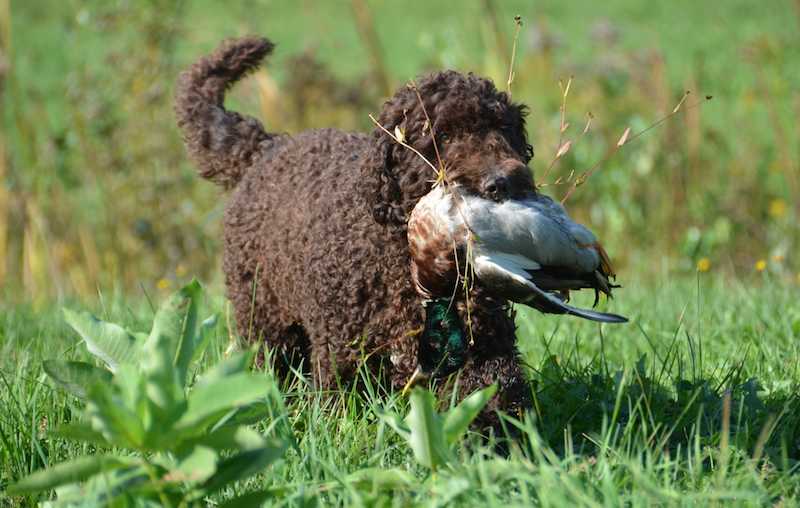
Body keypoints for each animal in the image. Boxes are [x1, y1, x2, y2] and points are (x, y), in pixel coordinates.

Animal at [176, 36, 536, 428]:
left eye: (503, 129)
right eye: (440, 135)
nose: (501, 183)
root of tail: (267, 146)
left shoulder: (483, 341)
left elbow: (490, 391)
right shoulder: (343, 349)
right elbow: (340, 408)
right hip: (264, 315)